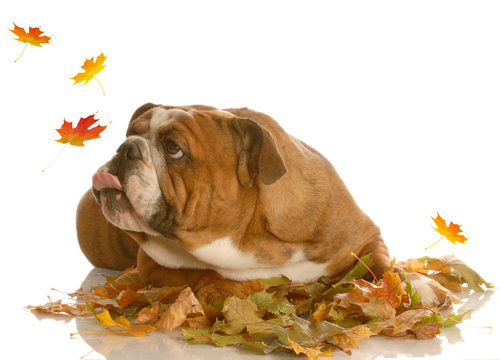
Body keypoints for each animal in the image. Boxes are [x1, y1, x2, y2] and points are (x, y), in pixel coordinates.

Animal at [78, 105, 390, 304]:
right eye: (130, 133)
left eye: (173, 148)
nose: (126, 147)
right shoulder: (152, 264)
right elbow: (198, 271)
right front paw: (223, 287)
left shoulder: (363, 235)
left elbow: (382, 263)